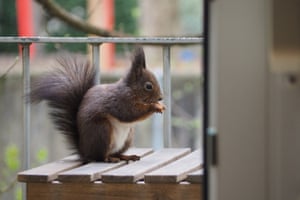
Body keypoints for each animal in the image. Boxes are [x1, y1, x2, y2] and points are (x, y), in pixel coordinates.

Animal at [29, 46, 165, 162]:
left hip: (128, 137)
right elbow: (130, 113)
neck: (131, 89)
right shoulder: (121, 101)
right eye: (148, 86)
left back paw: (126, 156)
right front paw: (155, 107)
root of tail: (85, 151)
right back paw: (109, 159)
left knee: (116, 153)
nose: (161, 98)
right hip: (102, 131)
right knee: (100, 157)